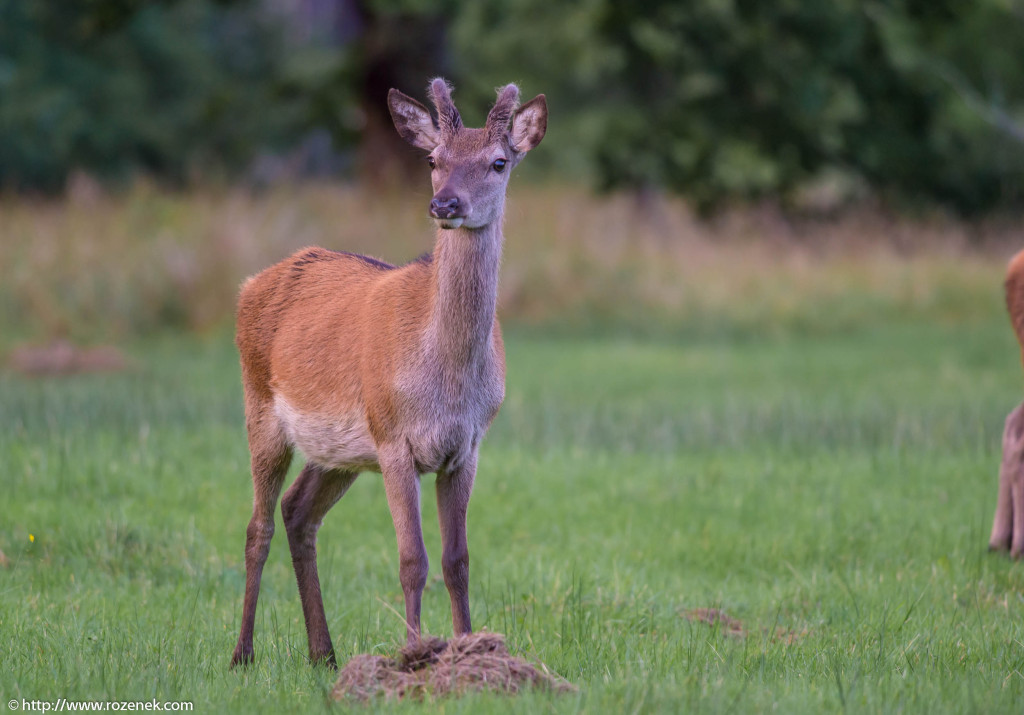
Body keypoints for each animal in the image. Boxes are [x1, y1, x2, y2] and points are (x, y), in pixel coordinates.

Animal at [229, 79, 548, 667]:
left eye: (498, 162)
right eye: (433, 159)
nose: (445, 203)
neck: (446, 381)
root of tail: (249, 285)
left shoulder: (467, 445)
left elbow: (457, 560)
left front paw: (469, 648)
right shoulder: (394, 436)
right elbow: (411, 560)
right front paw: (413, 653)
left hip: (340, 450)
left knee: (298, 511)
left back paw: (323, 654)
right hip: (261, 404)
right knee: (256, 526)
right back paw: (242, 654)